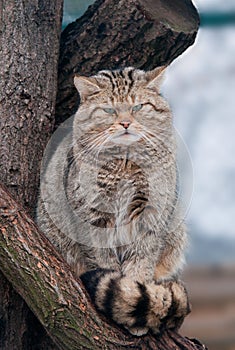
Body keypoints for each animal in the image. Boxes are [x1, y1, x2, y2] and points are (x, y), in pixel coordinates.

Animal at [37, 65, 191, 336]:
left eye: (138, 106)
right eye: (109, 110)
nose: (125, 123)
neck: (125, 164)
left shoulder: (151, 216)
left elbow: (140, 264)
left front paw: (134, 300)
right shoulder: (94, 217)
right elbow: (105, 260)